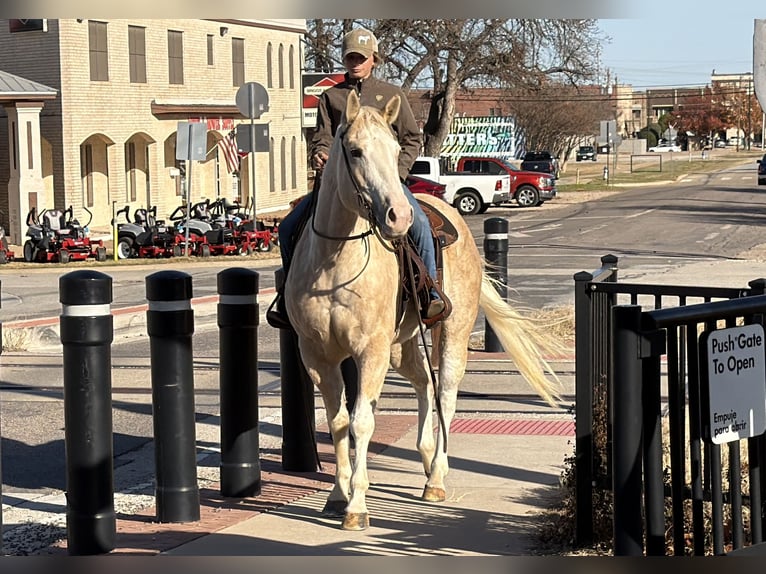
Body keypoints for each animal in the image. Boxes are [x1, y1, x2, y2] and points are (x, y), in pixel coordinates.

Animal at [285, 89, 563, 530]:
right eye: (355, 151)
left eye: (397, 148)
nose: (399, 216)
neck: (333, 263)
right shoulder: (317, 355)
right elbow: (338, 422)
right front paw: (337, 495)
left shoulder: (370, 351)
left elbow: (362, 421)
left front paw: (357, 506)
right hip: (401, 346)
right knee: (423, 384)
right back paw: (427, 455)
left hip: (450, 333)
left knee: (445, 390)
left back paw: (437, 477)